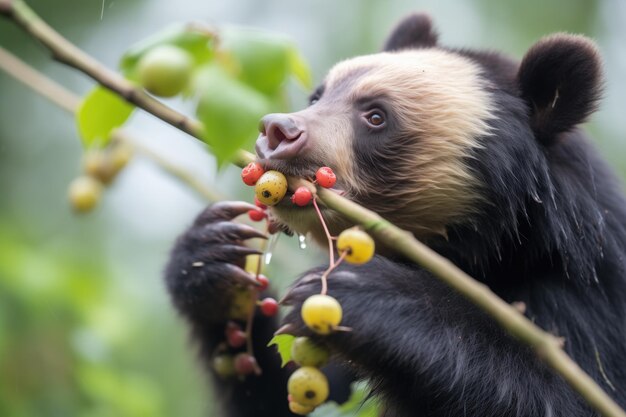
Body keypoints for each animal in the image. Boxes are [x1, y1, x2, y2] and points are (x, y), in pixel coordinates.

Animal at [165, 13, 624, 416]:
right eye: (317, 95)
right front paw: (210, 256)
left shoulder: (578, 301)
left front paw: (366, 295)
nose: (278, 132)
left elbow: (564, 395)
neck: (495, 249)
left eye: (375, 115)